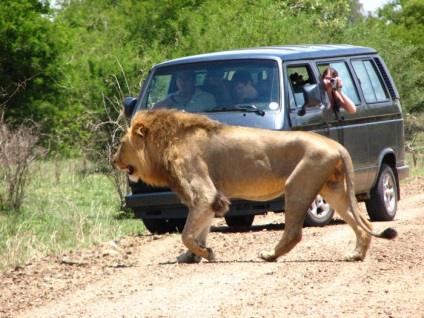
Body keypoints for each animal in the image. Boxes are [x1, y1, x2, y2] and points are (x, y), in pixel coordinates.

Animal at [113, 109, 398, 264]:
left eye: (122, 144)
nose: (114, 160)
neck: (165, 144)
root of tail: (338, 146)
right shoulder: (212, 199)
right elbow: (199, 230)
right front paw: (192, 256)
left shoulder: (203, 193)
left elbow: (186, 234)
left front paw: (205, 253)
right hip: (333, 189)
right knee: (364, 223)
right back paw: (356, 255)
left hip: (298, 183)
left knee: (294, 232)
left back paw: (269, 255)